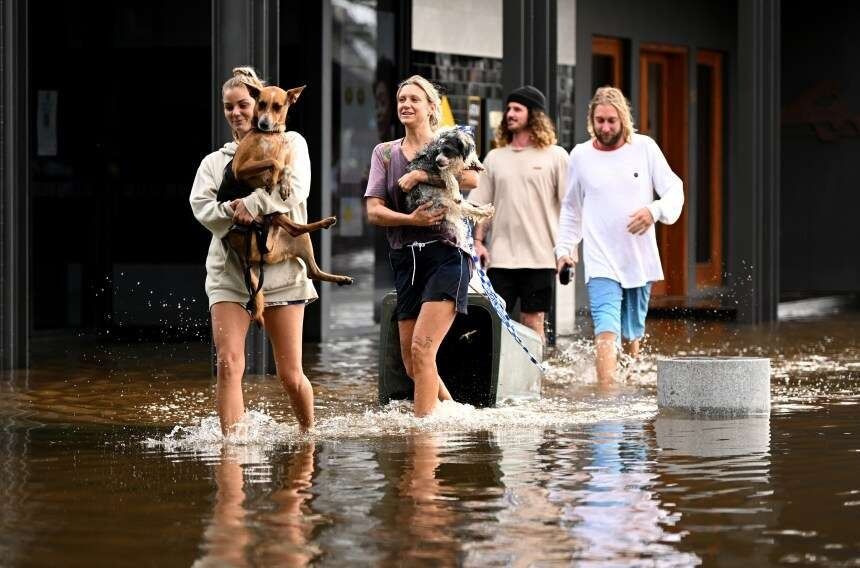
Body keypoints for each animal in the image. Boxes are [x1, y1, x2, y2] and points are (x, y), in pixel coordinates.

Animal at [228, 82, 352, 326]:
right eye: (261, 103)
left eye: (278, 106)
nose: (263, 123)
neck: (270, 137)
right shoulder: (240, 168)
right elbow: (273, 162)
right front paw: (272, 178)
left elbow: (284, 166)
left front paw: (283, 184)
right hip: (277, 218)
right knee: (295, 231)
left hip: (298, 237)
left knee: (309, 261)